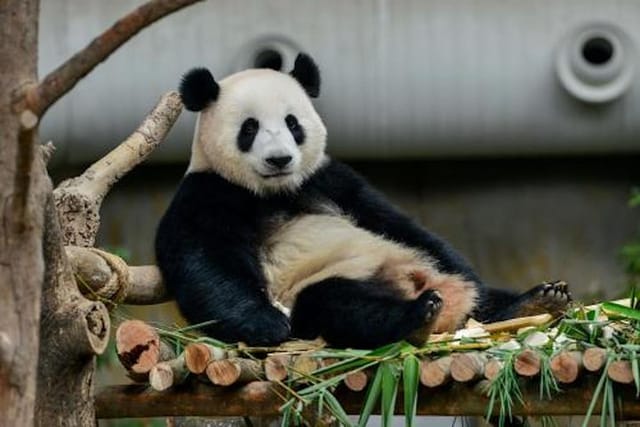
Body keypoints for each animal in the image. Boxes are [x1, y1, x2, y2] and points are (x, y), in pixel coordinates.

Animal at [154, 53, 568, 350]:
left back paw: (535, 300)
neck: (276, 191)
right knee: (340, 305)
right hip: (335, 282)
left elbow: (393, 220)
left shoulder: (329, 180)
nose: (279, 159)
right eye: (250, 128)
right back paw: (417, 314)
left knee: (484, 299)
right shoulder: (208, 192)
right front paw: (266, 324)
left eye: (292, 123)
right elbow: (206, 261)